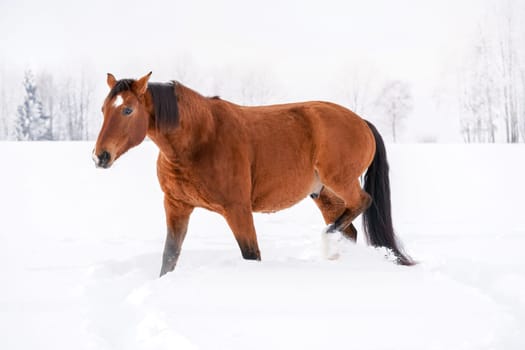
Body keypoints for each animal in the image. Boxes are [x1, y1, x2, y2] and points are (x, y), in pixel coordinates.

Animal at [94, 72, 414, 276]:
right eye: (102, 109)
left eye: (128, 110)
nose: (100, 156)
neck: (201, 137)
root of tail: (361, 121)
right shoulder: (177, 206)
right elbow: (169, 257)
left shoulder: (237, 209)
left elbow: (251, 254)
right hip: (325, 195)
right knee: (349, 227)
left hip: (341, 182)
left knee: (362, 203)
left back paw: (327, 243)